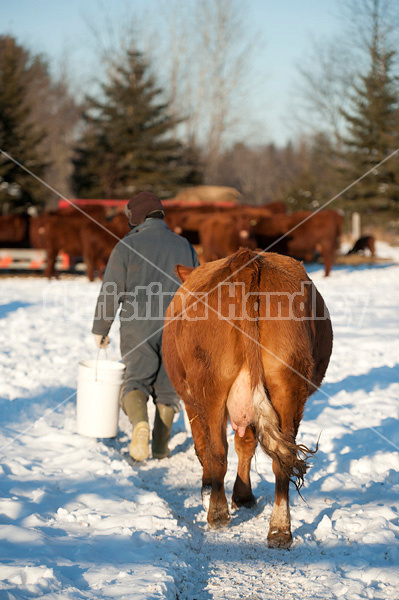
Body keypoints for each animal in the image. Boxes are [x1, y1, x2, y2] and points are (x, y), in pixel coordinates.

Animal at [163, 248, 334, 548]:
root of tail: (247, 261)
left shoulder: (190, 399)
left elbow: (204, 445)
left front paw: (212, 489)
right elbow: (246, 444)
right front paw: (243, 496)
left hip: (210, 385)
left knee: (217, 451)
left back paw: (217, 513)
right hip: (286, 388)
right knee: (282, 459)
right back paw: (280, 530)